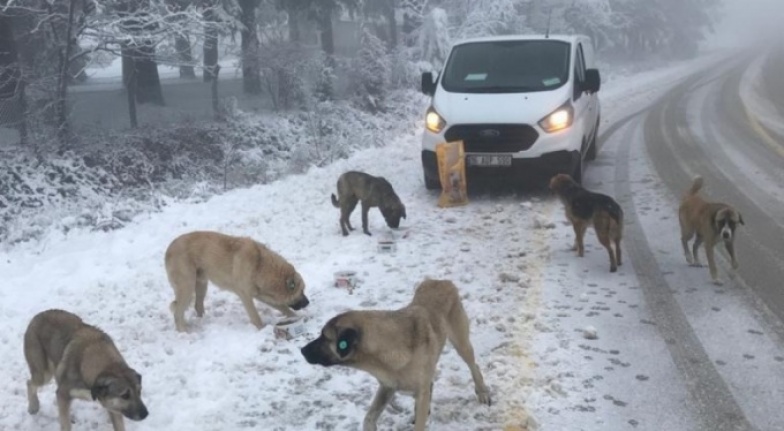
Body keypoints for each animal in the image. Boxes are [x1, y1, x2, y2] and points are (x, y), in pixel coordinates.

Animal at [165, 231, 310, 332]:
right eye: (301, 290)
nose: (308, 302)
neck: (260, 265)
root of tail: (169, 248)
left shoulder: (260, 294)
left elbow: (283, 307)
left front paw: (297, 317)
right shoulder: (245, 294)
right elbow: (255, 316)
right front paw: (262, 329)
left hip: (201, 284)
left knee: (197, 305)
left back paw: (202, 320)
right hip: (187, 286)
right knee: (178, 313)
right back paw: (184, 331)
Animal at [300, 278, 490, 430]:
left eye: (325, 337)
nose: (302, 350)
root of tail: (441, 281)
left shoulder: (416, 389)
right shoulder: (387, 386)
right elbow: (368, 418)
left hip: (461, 342)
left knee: (473, 365)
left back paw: (482, 392)